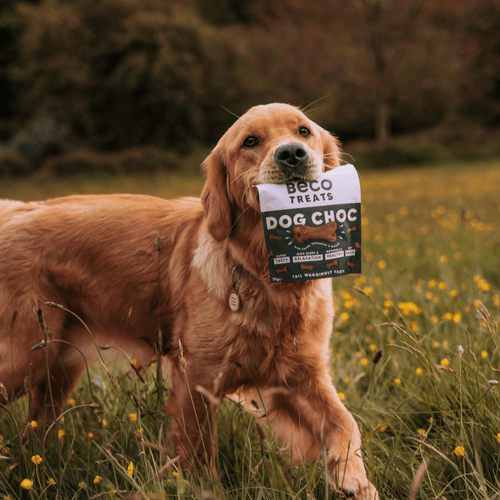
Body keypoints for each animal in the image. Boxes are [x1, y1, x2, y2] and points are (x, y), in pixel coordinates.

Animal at [0, 103, 376, 498]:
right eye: (250, 141)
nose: (292, 154)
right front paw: (204, 487)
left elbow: (345, 423)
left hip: (57, 363)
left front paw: (354, 480)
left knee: (39, 428)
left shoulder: (301, 375)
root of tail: (13, 211)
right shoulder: (196, 378)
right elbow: (198, 449)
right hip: (23, 357)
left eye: (303, 131)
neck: (264, 275)